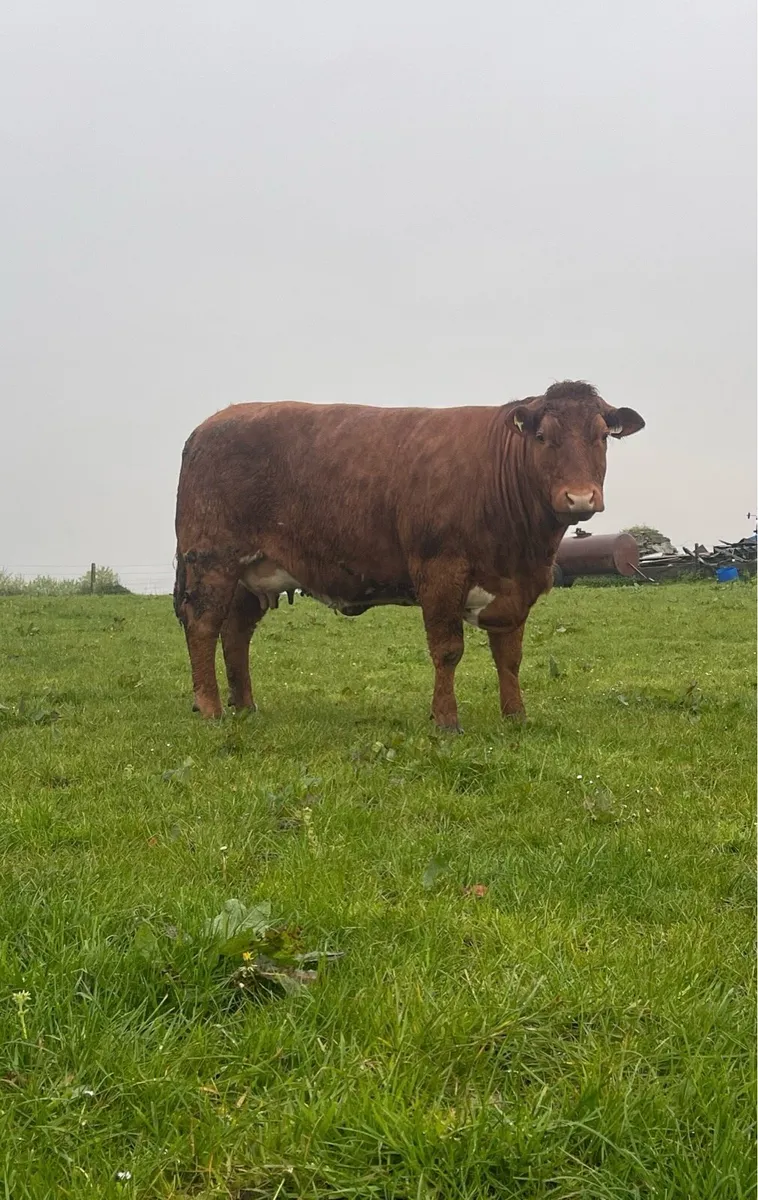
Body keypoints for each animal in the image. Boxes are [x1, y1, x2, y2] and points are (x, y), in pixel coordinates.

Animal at [173, 381, 644, 730]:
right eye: (544, 437)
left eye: (602, 436)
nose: (579, 497)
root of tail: (211, 423)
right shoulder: (440, 571)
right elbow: (448, 650)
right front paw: (447, 721)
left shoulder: (515, 587)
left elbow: (509, 655)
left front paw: (516, 717)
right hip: (212, 559)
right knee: (203, 626)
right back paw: (212, 709)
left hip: (248, 575)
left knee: (236, 634)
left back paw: (245, 706)